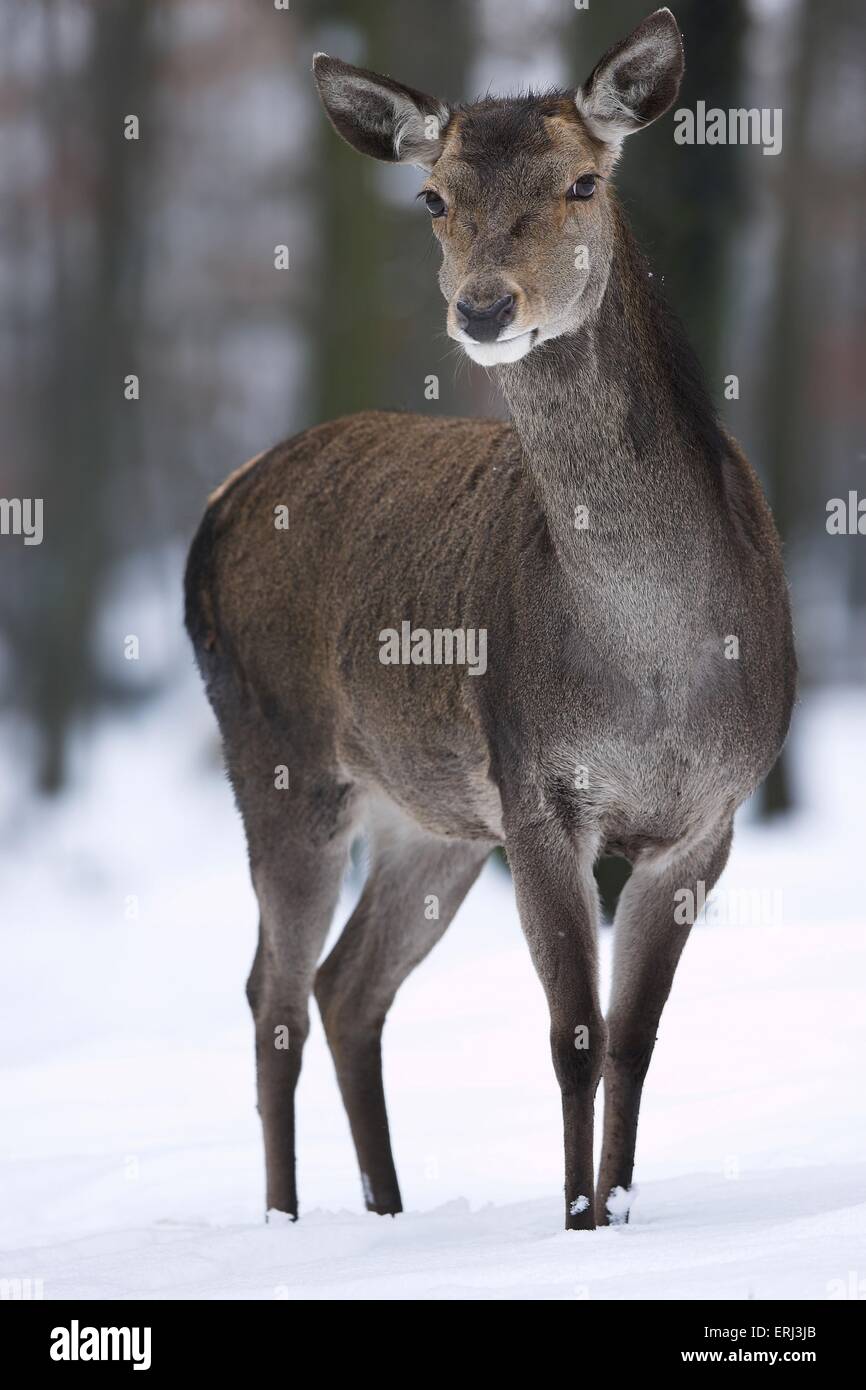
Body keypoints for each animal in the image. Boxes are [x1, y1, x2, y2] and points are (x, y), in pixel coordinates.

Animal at [185, 8, 795, 1231]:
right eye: (431, 196)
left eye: (580, 182)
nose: (482, 307)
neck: (657, 665)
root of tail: (219, 502)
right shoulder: (537, 791)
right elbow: (573, 1034)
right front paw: (574, 1223)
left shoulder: (710, 814)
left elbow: (635, 1038)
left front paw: (616, 1210)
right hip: (280, 755)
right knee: (273, 989)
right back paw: (283, 1222)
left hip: (431, 818)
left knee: (348, 985)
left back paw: (386, 1210)